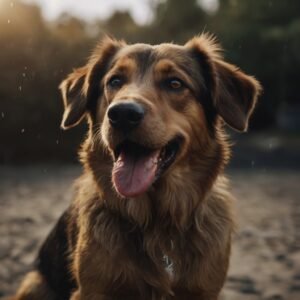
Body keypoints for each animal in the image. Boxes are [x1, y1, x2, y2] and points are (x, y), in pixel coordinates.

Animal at [11, 34, 260, 298]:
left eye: (175, 83)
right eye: (115, 81)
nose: (122, 114)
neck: (157, 223)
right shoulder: (92, 290)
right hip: (35, 285)